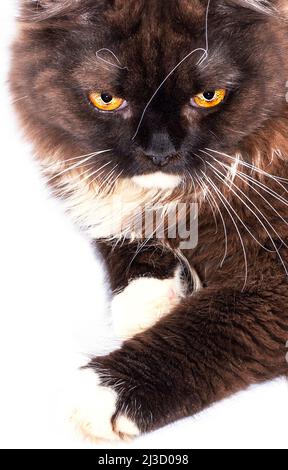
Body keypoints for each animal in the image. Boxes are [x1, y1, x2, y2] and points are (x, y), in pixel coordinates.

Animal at [10, 0, 288, 440]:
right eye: (107, 99)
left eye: (208, 96)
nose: (160, 152)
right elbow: (117, 229)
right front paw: (147, 304)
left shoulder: (274, 275)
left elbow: (210, 325)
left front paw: (105, 390)